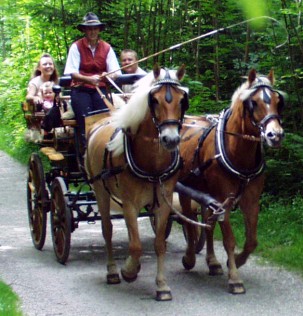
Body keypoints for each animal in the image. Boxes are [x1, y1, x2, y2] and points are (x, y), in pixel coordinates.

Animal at [85, 64, 189, 302]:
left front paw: (162, 286)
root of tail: (100, 121)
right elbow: (135, 245)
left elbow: (159, 244)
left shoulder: (163, 203)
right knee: (107, 229)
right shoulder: (130, 204)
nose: (170, 139)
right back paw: (113, 271)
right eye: (155, 100)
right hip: (100, 191)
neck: (152, 163)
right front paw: (129, 271)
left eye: (182, 100)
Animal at [178, 68, 284, 294]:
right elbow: (229, 239)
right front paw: (234, 278)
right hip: (184, 189)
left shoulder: (251, 200)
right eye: (254, 102)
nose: (275, 135)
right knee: (188, 221)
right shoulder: (223, 200)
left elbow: (251, 241)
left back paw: (212, 262)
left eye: (278, 101)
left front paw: (235, 261)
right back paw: (189, 258)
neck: (238, 152)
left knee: (207, 224)